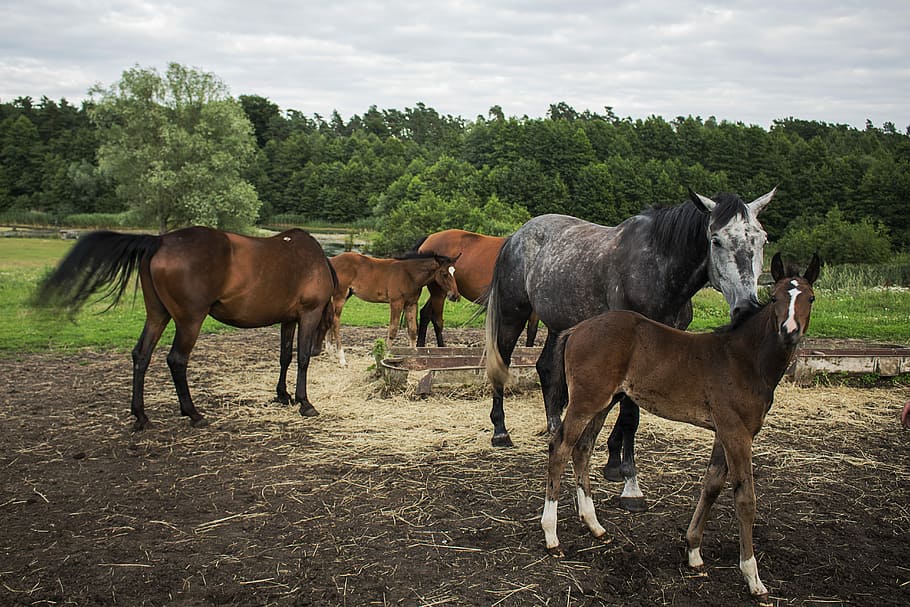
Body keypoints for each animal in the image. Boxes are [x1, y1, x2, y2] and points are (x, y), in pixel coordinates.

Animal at [33, 227, 337, 431]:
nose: (321, 349)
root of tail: (161, 241)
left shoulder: (288, 319)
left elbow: (285, 356)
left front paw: (283, 395)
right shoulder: (308, 314)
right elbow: (302, 359)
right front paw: (304, 403)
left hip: (157, 315)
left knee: (141, 355)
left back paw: (141, 416)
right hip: (190, 320)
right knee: (177, 360)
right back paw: (193, 413)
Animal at [328, 251, 460, 366]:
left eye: (454, 272)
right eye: (444, 273)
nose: (455, 296)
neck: (409, 275)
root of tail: (331, 261)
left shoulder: (411, 304)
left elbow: (413, 331)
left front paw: (414, 357)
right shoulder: (396, 303)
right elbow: (393, 330)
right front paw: (386, 357)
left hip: (343, 295)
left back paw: (330, 352)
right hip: (340, 296)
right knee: (335, 322)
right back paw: (342, 359)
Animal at [486, 188, 774, 511]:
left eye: (762, 239)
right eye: (716, 240)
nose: (746, 306)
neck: (658, 267)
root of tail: (516, 236)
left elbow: (627, 409)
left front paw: (614, 464)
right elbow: (629, 416)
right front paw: (631, 486)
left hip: (560, 324)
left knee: (546, 369)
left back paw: (554, 427)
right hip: (512, 314)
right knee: (501, 364)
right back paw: (500, 432)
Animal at [541, 252, 820, 604]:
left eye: (810, 297)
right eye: (775, 297)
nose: (789, 330)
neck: (744, 360)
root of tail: (577, 328)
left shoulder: (724, 431)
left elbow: (712, 484)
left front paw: (694, 553)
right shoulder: (737, 432)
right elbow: (745, 498)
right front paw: (753, 579)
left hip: (604, 401)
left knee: (582, 450)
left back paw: (595, 526)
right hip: (587, 400)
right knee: (560, 448)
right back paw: (552, 538)